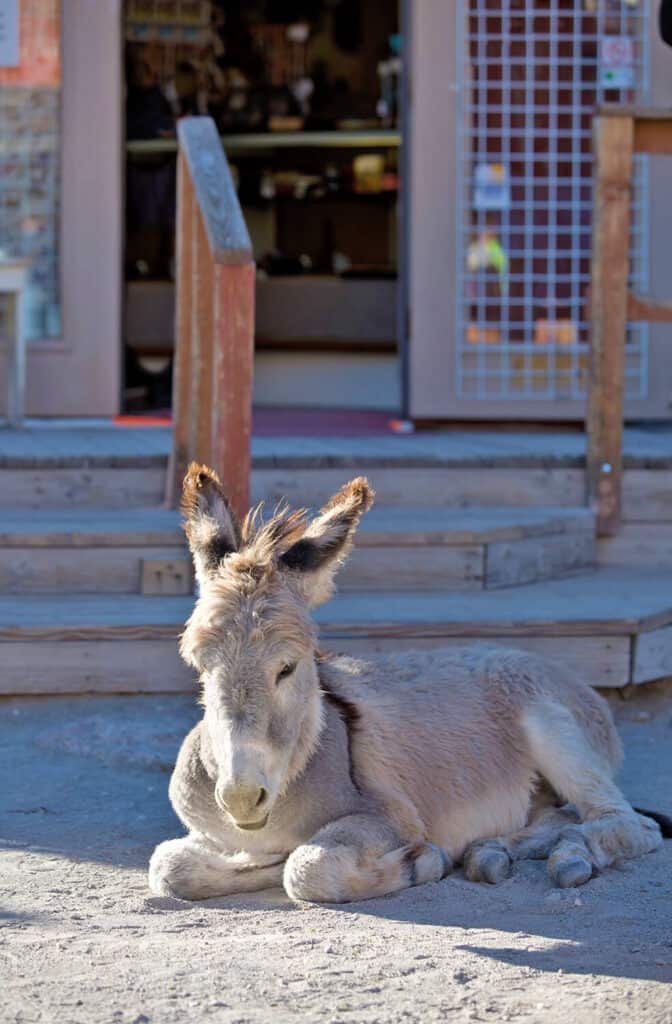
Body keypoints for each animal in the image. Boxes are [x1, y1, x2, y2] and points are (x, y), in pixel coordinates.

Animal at [149, 466, 667, 905]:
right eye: (200, 666)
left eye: (288, 668)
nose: (240, 796)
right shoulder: (202, 835)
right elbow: (169, 866)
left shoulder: (390, 817)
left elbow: (307, 867)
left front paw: (420, 863)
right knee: (557, 818)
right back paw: (493, 853)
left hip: (555, 733)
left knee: (629, 823)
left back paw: (569, 858)